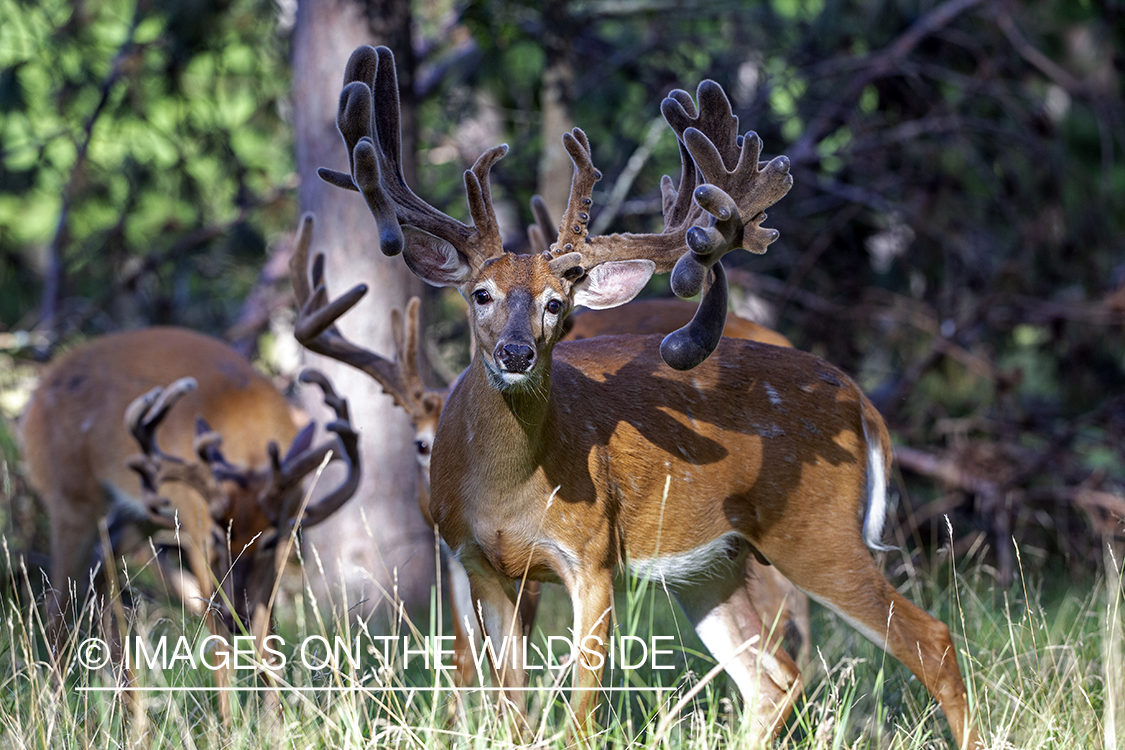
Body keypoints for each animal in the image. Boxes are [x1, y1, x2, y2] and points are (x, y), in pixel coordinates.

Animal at [20, 326, 355, 715]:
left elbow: (266, 632)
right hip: (70, 500)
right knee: (56, 606)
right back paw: (55, 706)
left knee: (100, 586)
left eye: (268, 539)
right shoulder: (193, 528)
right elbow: (218, 639)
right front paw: (228, 721)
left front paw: (274, 718)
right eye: (215, 536)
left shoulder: (287, 533)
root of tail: (37, 393)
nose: (235, 616)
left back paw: (130, 708)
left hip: (135, 520)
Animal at [312, 44, 981, 746]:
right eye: (481, 294)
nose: (517, 354)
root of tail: (860, 399)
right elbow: (508, 713)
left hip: (815, 530)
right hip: (714, 564)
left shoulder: (592, 555)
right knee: (773, 680)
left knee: (930, 641)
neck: (506, 491)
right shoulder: (482, 565)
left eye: (558, 302)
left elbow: (581, 716)